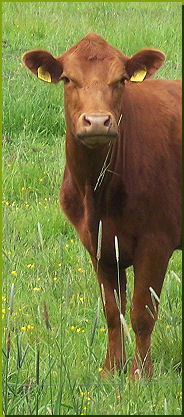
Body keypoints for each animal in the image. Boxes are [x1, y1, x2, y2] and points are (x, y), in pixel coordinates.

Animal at [22, 32, 182, 376]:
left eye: (121, 80)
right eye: (67, 79)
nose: (97, 121)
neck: (99, 197)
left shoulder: (156, 241)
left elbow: (141, 314)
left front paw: (140, 375)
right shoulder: (97, 244)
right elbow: (112, 310)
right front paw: (112, 370)